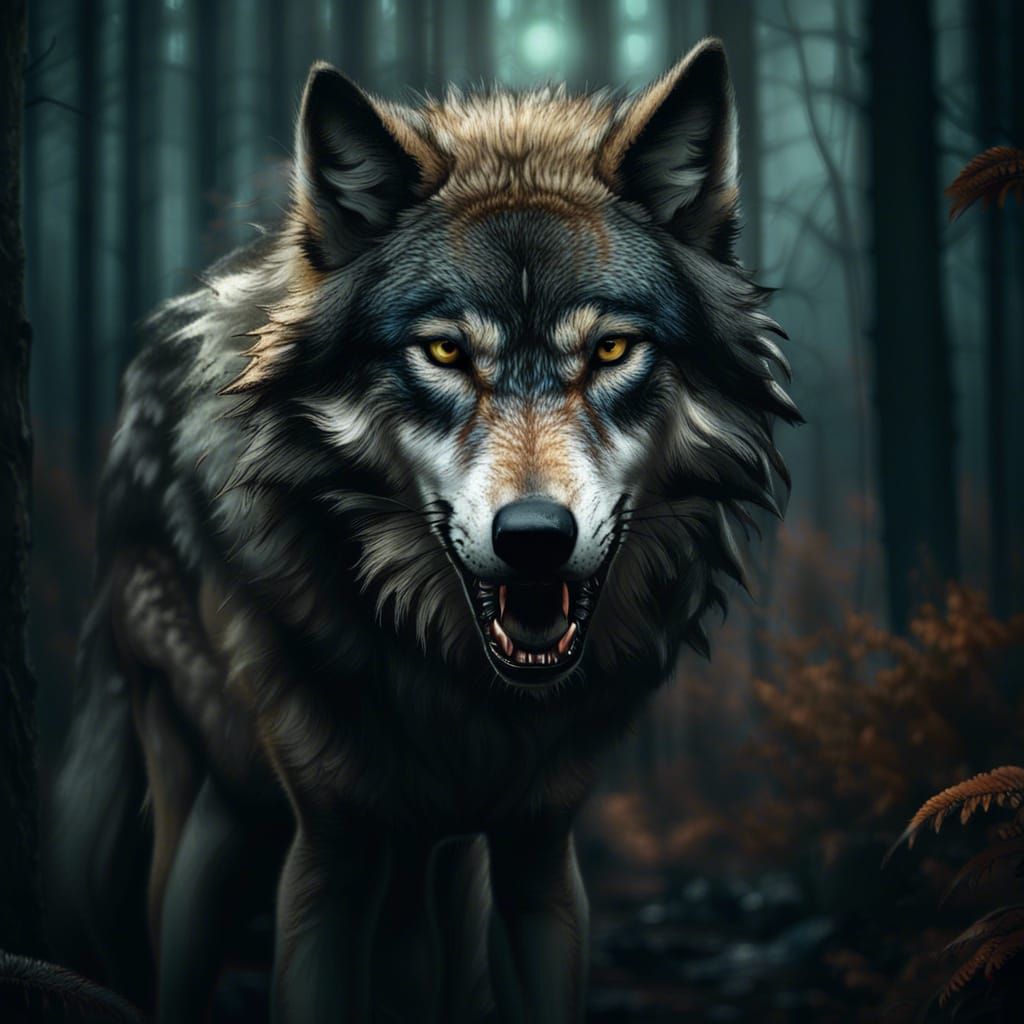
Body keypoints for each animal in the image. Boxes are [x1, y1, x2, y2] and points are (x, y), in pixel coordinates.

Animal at [49, 38, 798, 1024]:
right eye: (444, 351)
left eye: (610, 350)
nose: (533, 535)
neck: (457, 685)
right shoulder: (329, 852)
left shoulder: (536, 853)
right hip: (218, 797)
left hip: (430, 858)